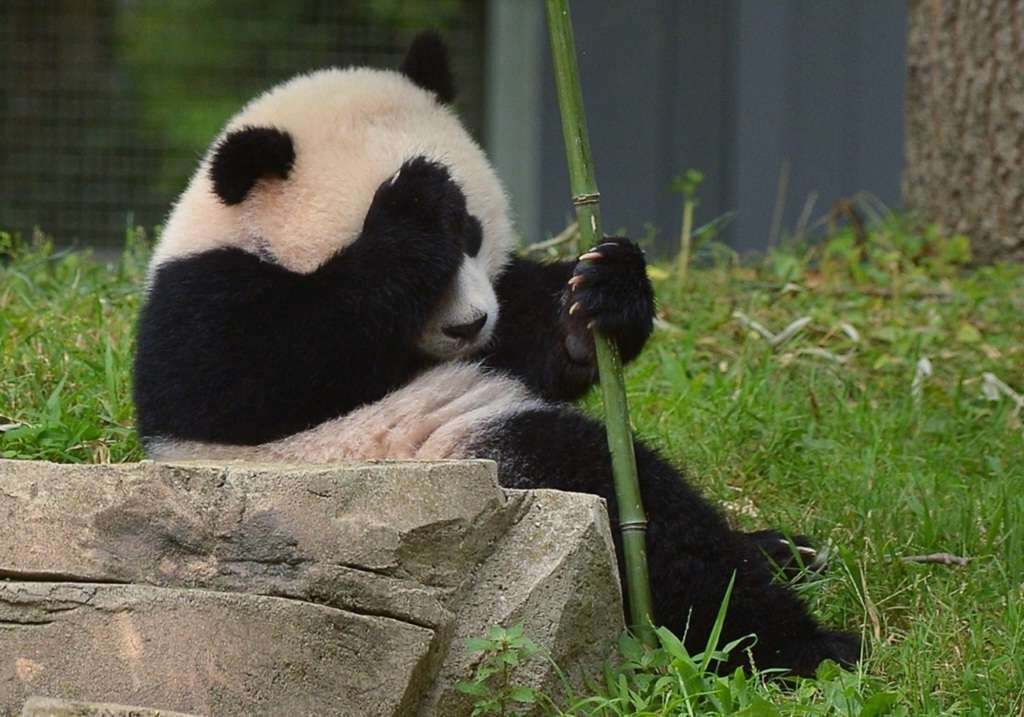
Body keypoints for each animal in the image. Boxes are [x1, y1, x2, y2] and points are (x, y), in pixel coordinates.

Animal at [134, 30, 856, 676]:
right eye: (437, 258)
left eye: (474, 235)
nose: (469, 325)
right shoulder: (203, 300)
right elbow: (255, 372)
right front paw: (413, 202)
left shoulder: (500, 319)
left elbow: (533, 336)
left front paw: (602, 295)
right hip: (444, 472)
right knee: (638, 511)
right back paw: (801, 644)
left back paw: (784, 551)